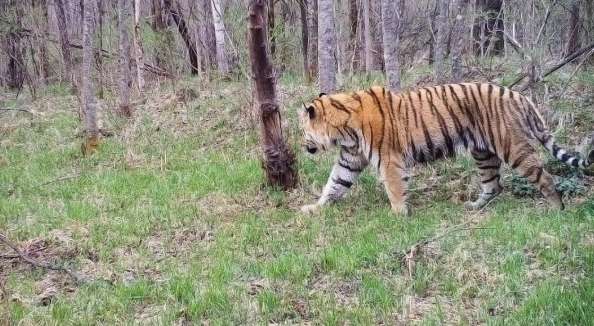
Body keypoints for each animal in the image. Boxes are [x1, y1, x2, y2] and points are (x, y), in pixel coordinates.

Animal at [298, 83, 588, 215]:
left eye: (302, 130)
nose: (302, 145)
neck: (343, 130)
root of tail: (520, 95)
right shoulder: (350, 158)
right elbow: (335, 183)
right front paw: (315, 208)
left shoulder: (390, 161)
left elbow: (394, 188)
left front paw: (398, 215)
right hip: (483, 152)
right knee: (494, 185)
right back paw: (474, 206)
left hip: (513, 147)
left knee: (545, 176)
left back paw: (556, 209)